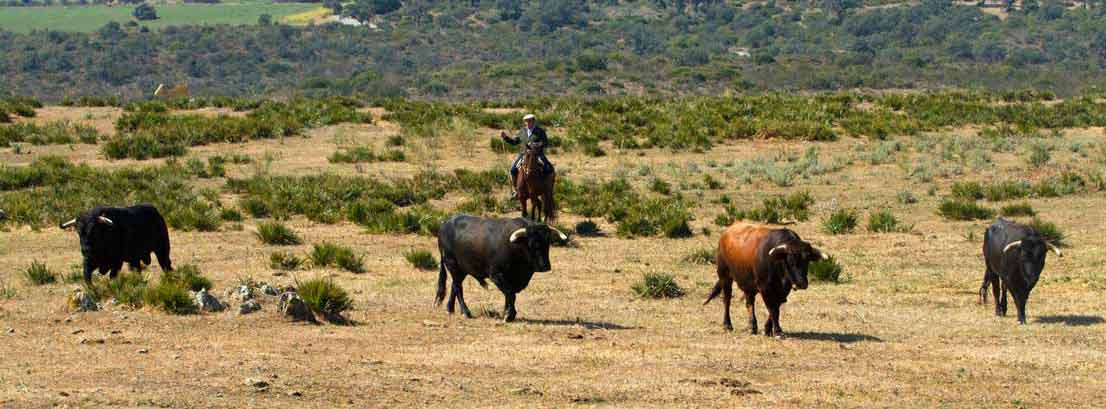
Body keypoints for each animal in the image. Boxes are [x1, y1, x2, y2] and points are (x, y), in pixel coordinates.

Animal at [433, 214, 566, 322]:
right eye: (532, 244)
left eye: (547, 243)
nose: (545, 266)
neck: (515, 246)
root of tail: (445, 224)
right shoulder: (497, 275)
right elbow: (511, 294)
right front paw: (509, 315)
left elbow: (510, 295)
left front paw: (507, 313)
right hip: (452, 264)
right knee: (458, 287)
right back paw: (465, 312)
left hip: (462, 269)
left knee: (454, 286)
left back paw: (450, 309)